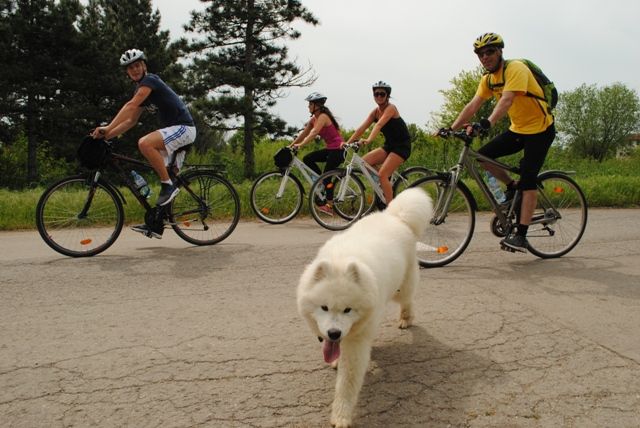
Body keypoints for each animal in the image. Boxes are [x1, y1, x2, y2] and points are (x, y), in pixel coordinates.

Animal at [297, 187, 432, 427]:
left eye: (347, 310)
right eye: (324, 307)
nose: (334, 333)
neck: (340, 261)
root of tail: (396, 216)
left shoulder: (355, 345)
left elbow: (347, 384)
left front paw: (341, 416)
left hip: (401, 288)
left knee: (408, 299)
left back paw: (406, 318)